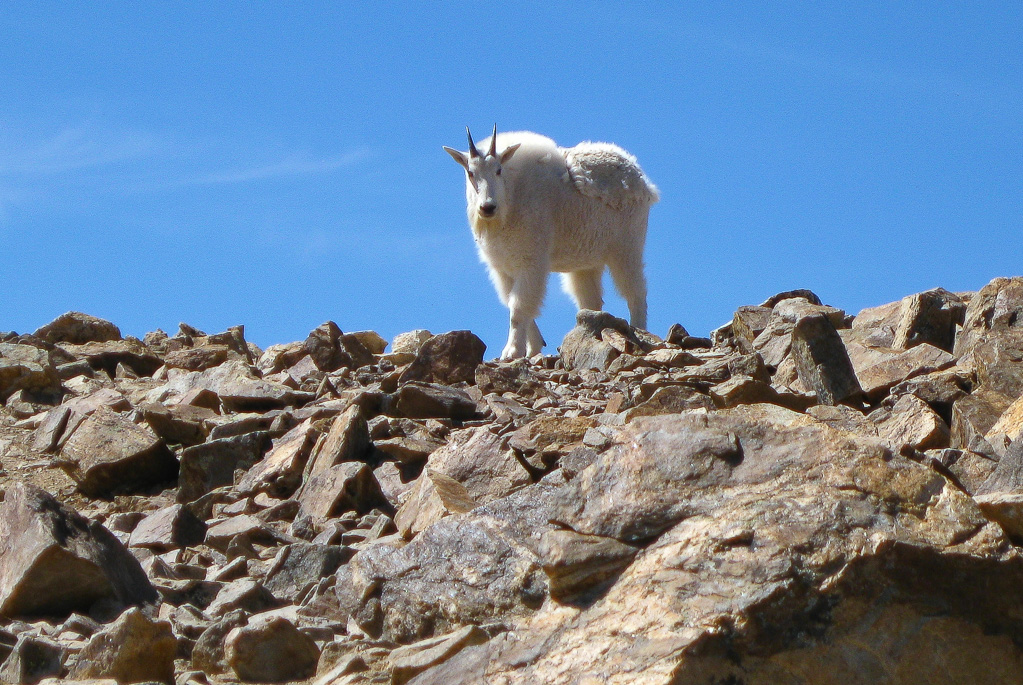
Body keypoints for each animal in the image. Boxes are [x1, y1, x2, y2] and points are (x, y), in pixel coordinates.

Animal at [444, 126, 658, 359]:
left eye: (499, 170)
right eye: (470, 173)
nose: (487, 207)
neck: (512, 196)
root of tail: (642, 180)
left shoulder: (531, 260)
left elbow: (519, 307)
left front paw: (512, 351)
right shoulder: (503, 267)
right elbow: (514, 303)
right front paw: (532, 348)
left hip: (627, 248)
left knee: (636, 292)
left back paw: (639, 330)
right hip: (587, 262)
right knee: (591, 302)